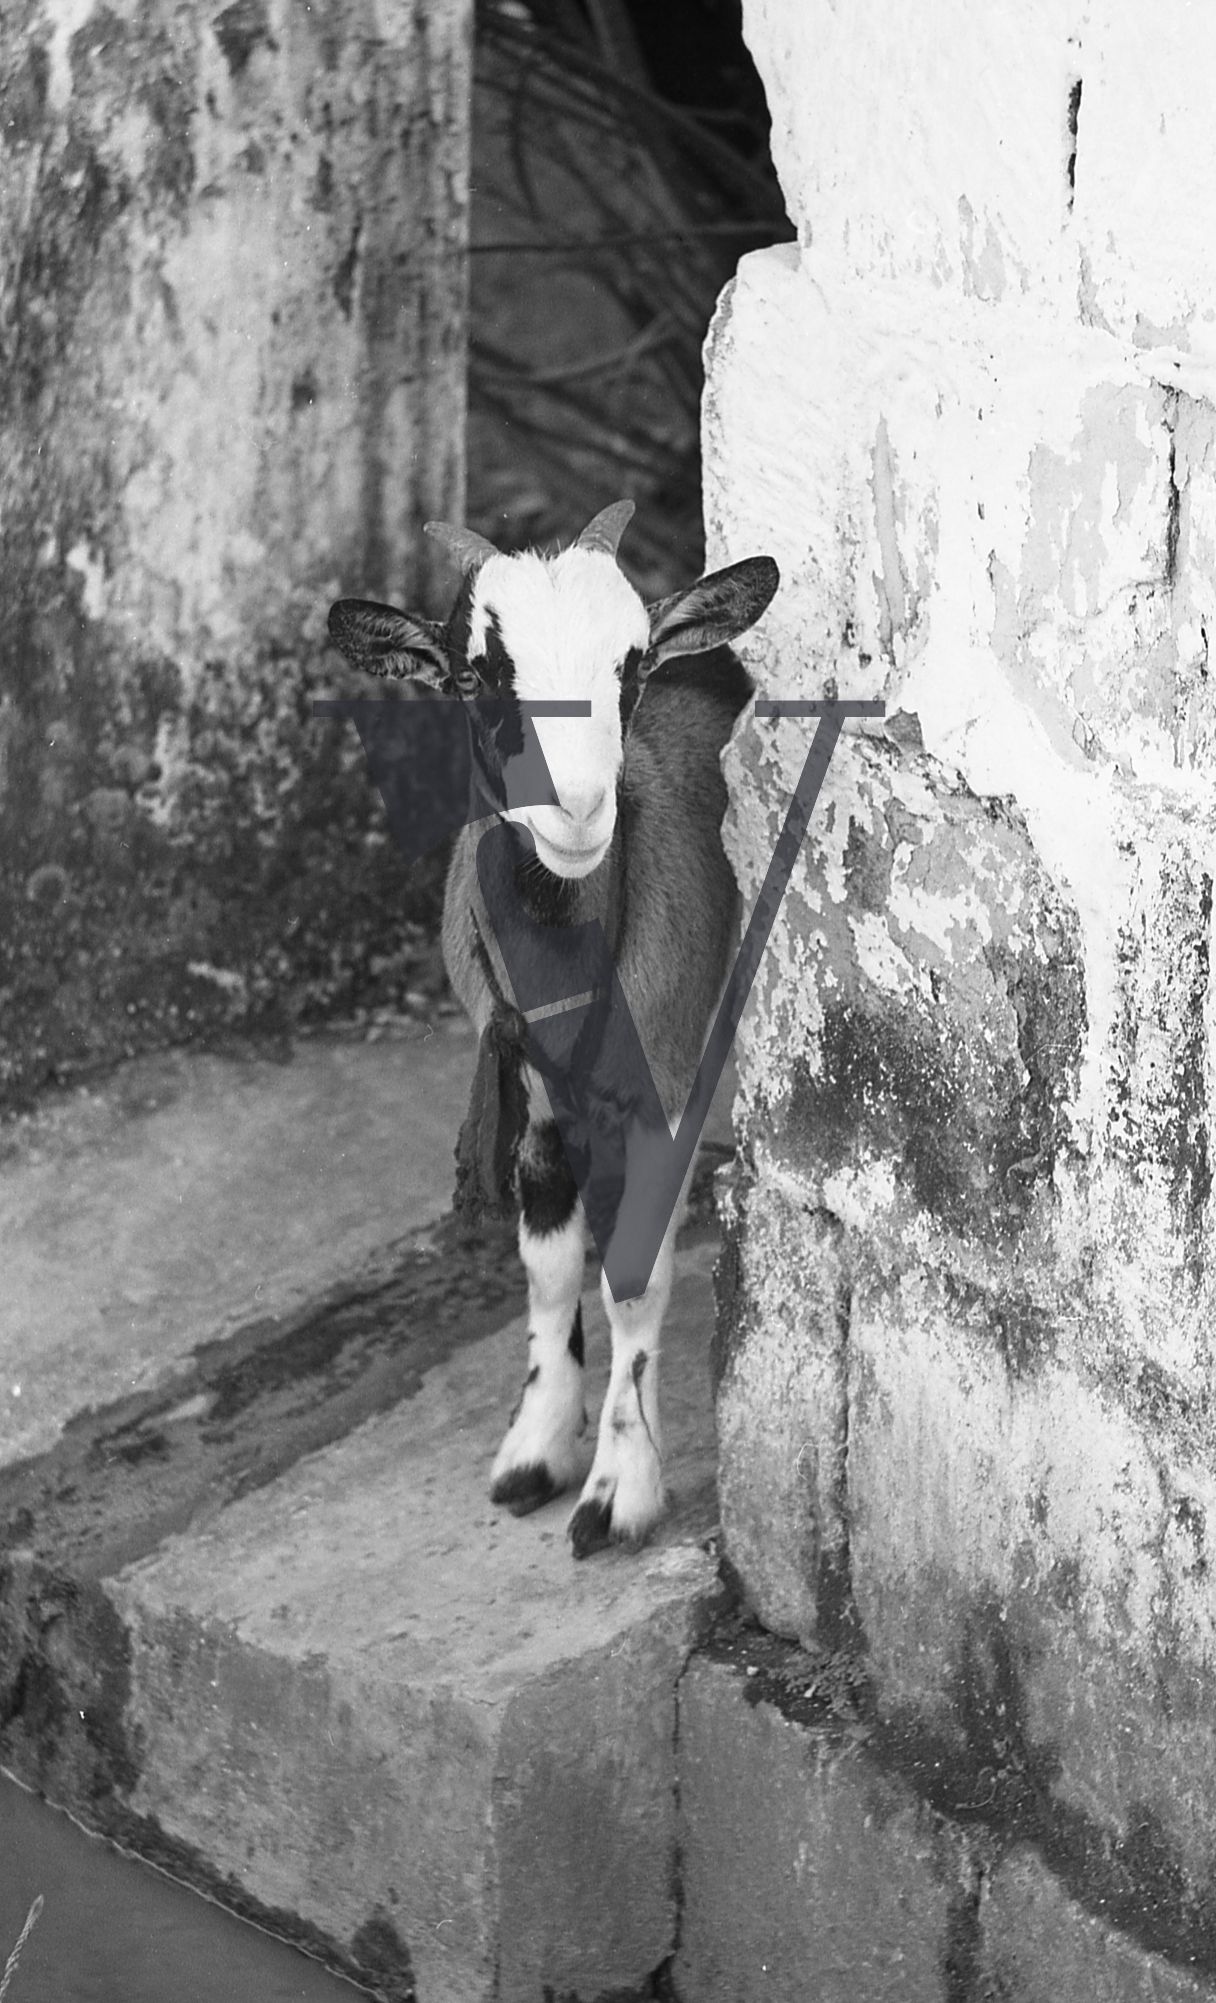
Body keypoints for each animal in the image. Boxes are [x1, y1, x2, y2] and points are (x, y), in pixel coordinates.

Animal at [326, 496, 781, 1546]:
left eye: (632, 668)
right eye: (473, 677)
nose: (574, 811)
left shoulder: (665, 1089)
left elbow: (632, 1276)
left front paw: (619, 1490)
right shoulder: (529, 1095)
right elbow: (548, 1266)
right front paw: (535, 1446)